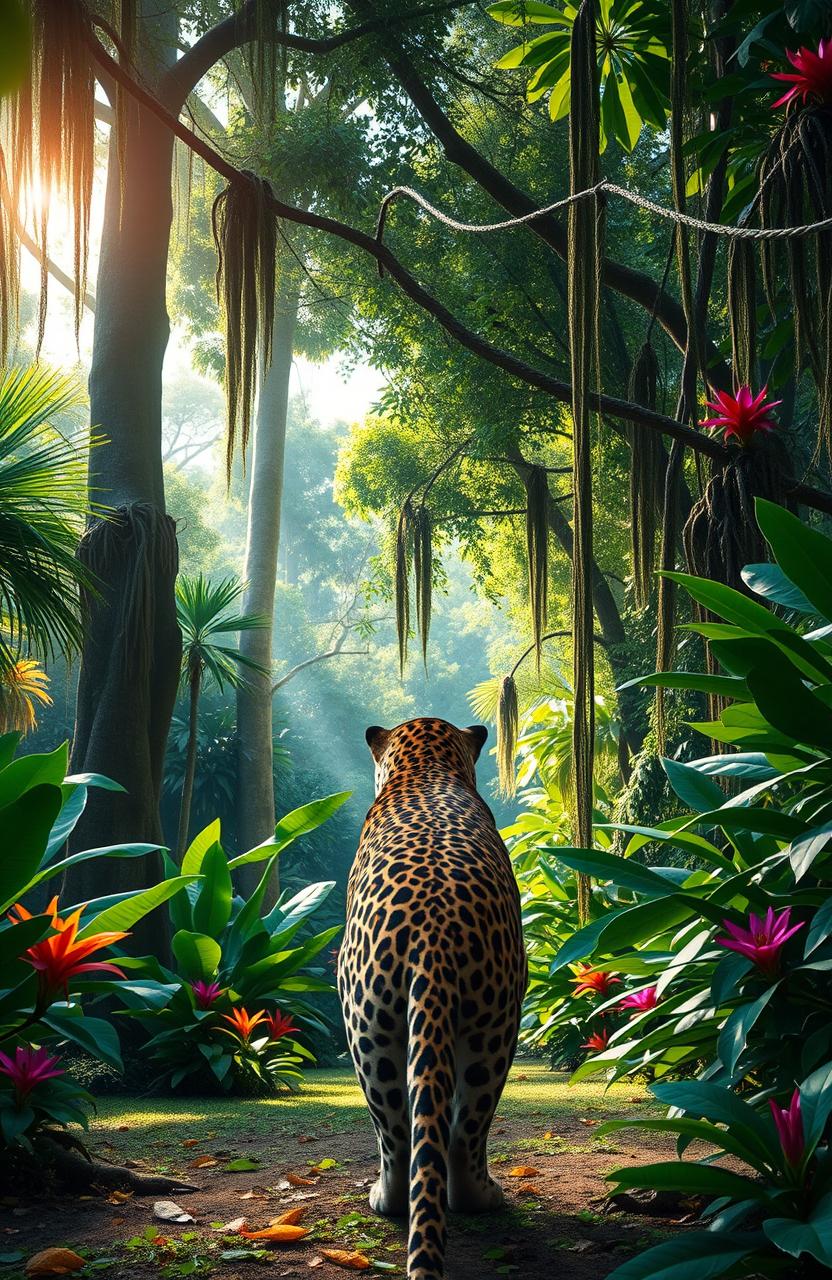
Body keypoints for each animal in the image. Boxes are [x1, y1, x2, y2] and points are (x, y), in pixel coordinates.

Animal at [337, 717, 527, 1280]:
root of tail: (434, 930)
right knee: (458, 1129)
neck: (425, 766)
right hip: (489, 1026)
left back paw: (391, 1198)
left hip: (371, 1028)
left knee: (404, 1134)